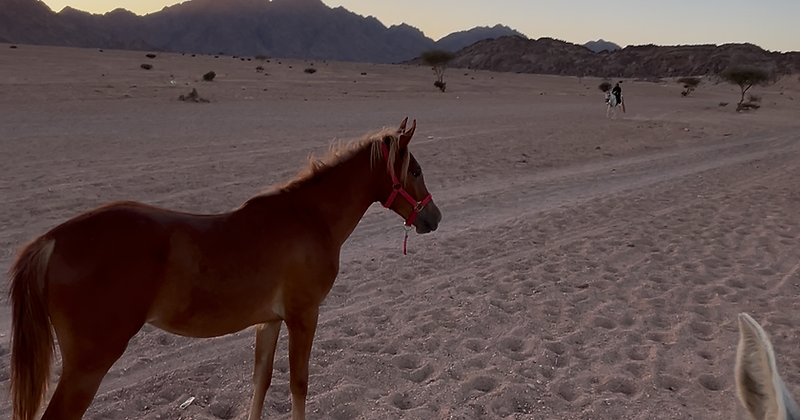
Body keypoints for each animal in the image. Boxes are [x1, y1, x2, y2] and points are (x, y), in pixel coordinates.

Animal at [7, 118, 442, 420]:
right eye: (416, 171)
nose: (434, 217)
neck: (309, 217)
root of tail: (51, 240)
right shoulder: (304, 316)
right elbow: (298, 384)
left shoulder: (269, 321)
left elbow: (260, 383)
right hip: (87, 368)